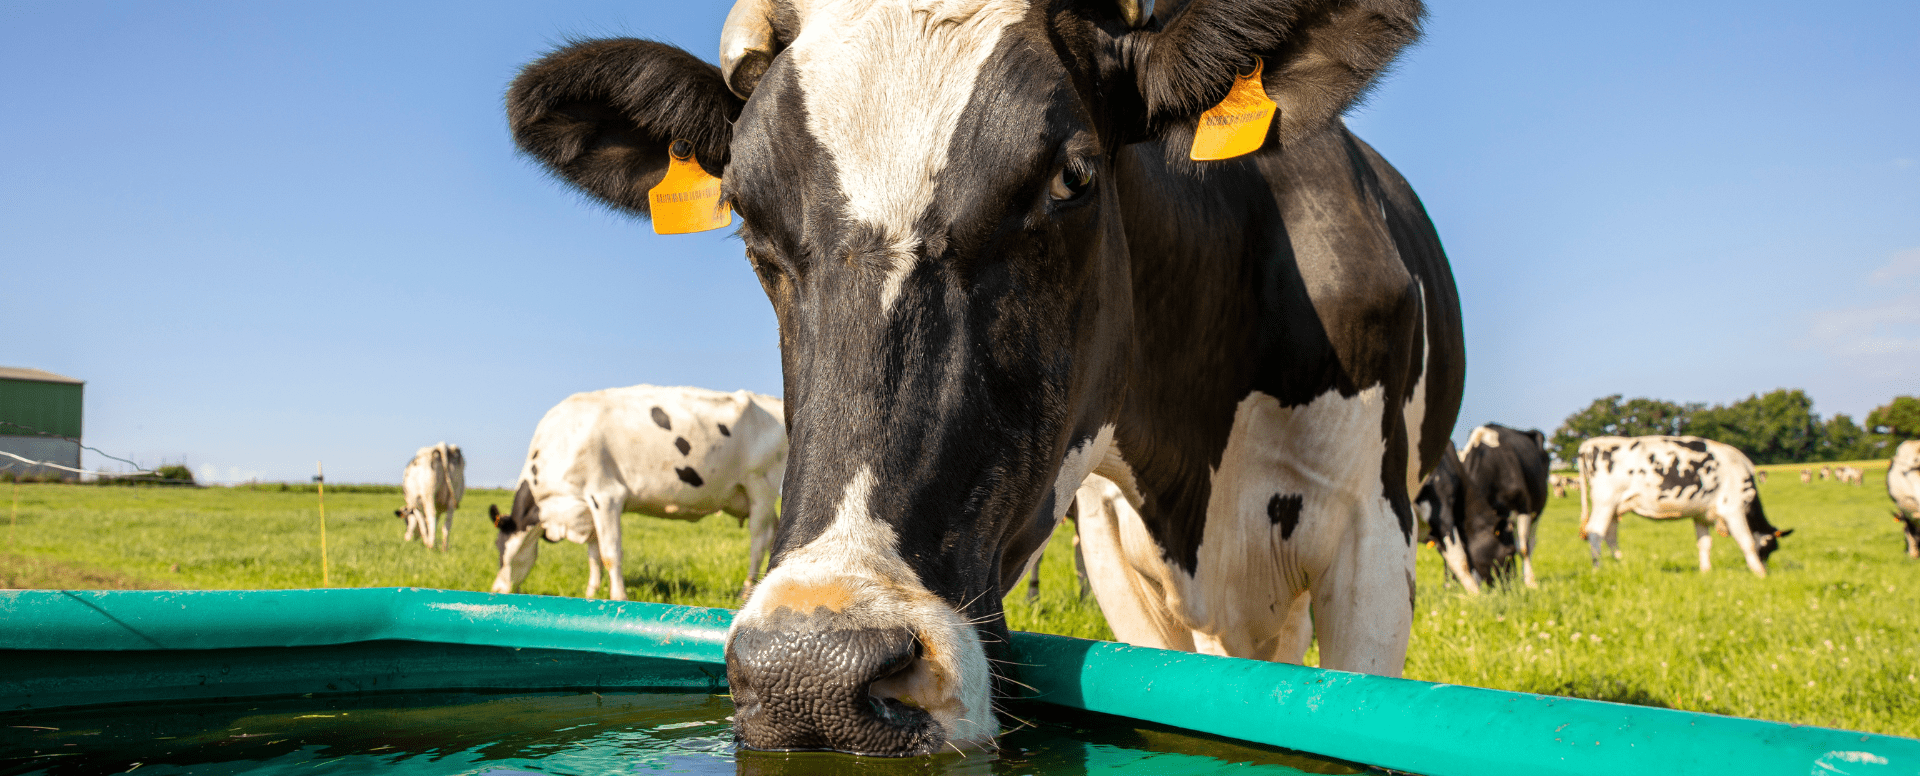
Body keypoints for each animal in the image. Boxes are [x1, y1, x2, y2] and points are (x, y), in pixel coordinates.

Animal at [488, 385, 787, 600]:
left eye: (500, 548)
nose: (496, 591)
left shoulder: (606, 495)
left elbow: (610, 554)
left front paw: (618, 597)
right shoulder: (586, 508)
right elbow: (593, 555)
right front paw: (590, 594)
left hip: (760, 485)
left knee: (759, 539)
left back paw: (746, 592)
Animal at [1461, 424, 1550, 588]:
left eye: (1511, 552)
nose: (1509, 585)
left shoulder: (1523, 506)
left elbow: (1523, 548)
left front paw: (1530, 582)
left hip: (1538, 509)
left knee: (1531, 541)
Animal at [1577, 436, 1791, 577]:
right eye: (1771, 547)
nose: (1767, 567)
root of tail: (1590, 444)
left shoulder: (1701, 515)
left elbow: (1704, 544)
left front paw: (1706, 571)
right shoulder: (1733, 509)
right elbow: (1747, 541)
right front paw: (1759, 573)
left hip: (1614, 507)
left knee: (1610, 534)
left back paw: (1620, 562)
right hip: (1605, 501)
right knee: (1595, 532)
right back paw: (1597, 568)